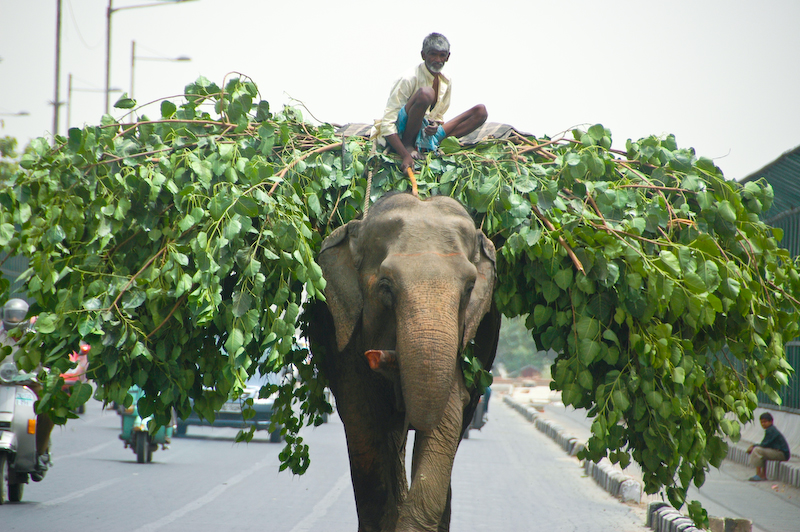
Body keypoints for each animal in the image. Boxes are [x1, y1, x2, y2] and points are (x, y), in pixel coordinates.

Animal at [306, 192, 500, 532]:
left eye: (469, 288)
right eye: (385, 286)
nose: (378, 356)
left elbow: (447, 419)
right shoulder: (343, 336)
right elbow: (362, 423)